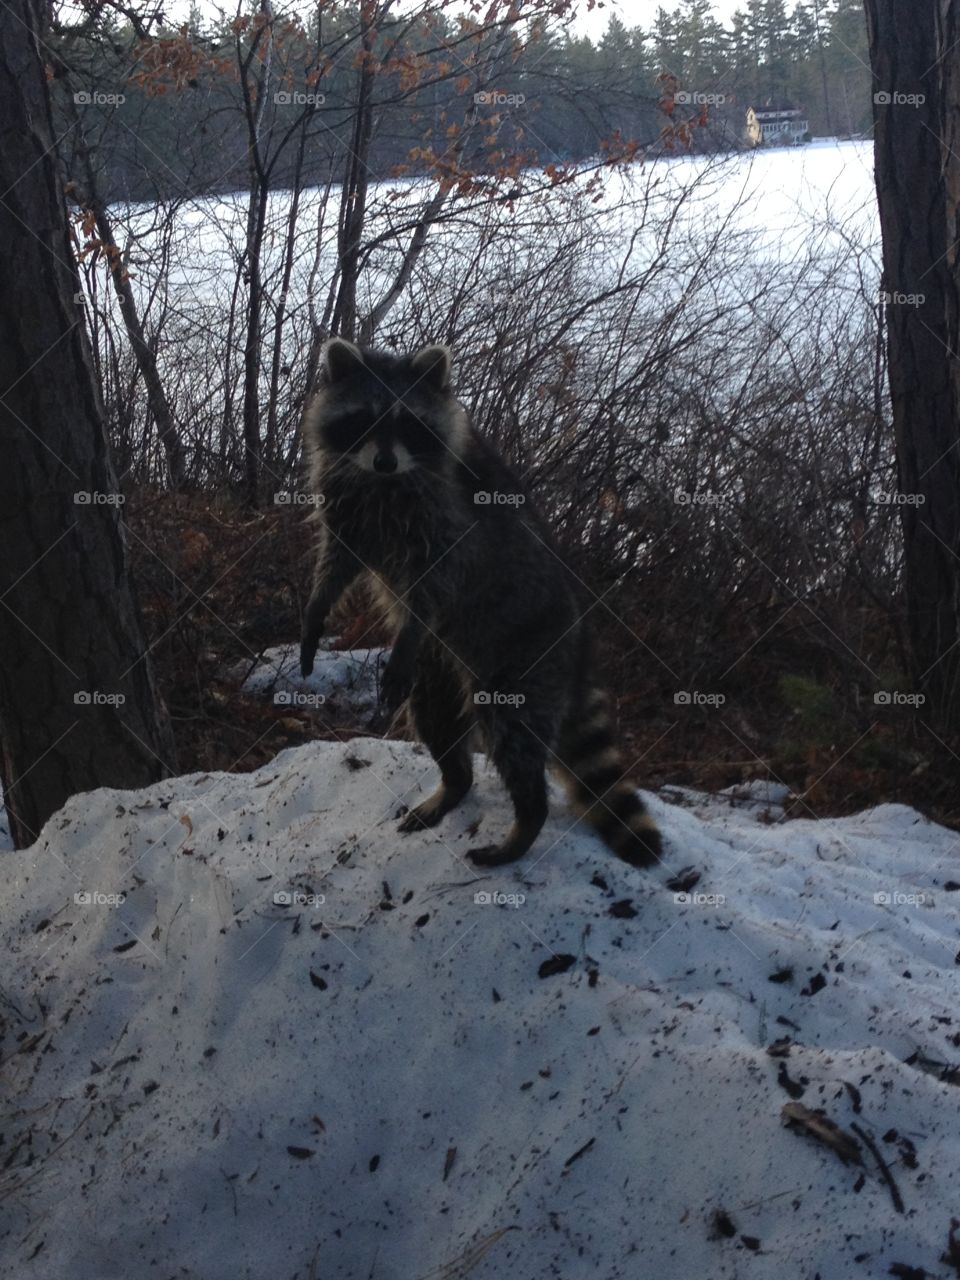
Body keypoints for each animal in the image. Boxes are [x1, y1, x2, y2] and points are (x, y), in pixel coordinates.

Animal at [300, 337, 660, 870]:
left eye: (408, 423)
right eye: (364, 417)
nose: (385, 462)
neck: (383, 479)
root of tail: (578, 644)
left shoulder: (449, 517)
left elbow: (437, 578)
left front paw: (410, 623)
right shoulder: (347, 499)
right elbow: (337, 559)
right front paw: (316, 608)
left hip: (524, 660)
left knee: (514, 735)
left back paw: (525, 824)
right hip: (438, 669)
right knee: (436, 720)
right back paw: (455, 783)